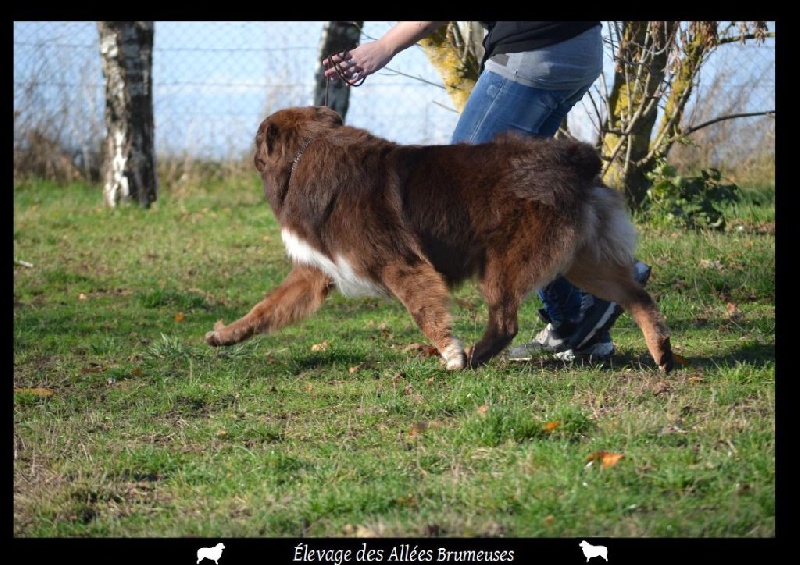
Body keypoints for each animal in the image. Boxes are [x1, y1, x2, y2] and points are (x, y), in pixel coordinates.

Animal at [203, 105, 672, 372]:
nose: (249, 151)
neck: (309, 150)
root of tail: (577, 159)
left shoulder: (401, 265)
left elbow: (424, 312)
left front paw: (450, 352)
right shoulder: (317, 272)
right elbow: (264, 309)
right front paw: (225, 335)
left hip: (503, 265)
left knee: (506, 322)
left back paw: (475, 359)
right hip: (581, 261)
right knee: (637, 296)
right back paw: (662, 352)